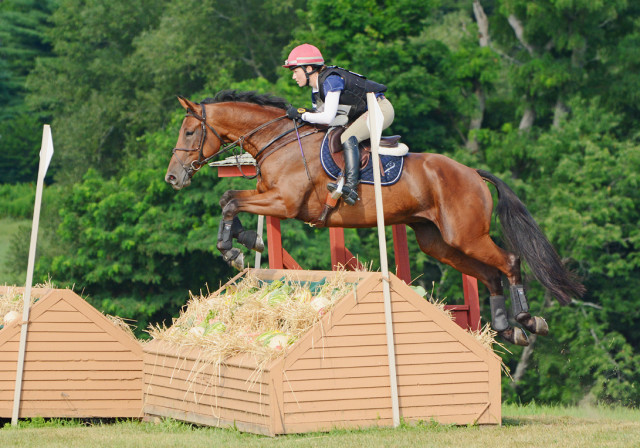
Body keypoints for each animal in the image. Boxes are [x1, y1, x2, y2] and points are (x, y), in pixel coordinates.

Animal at [165, 89, 584, 344]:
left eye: (189, 132)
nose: (173, 177)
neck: (278, 141)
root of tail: (472, 173)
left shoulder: (284, 203)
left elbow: (231, 201)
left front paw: (235, 248)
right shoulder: (270, 198)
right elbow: (229, 198)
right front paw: (242, 243)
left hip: (467, 235)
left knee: (509, 262)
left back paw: (528, 321)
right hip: (438, 242)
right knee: (490, 274)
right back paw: (506, 329)